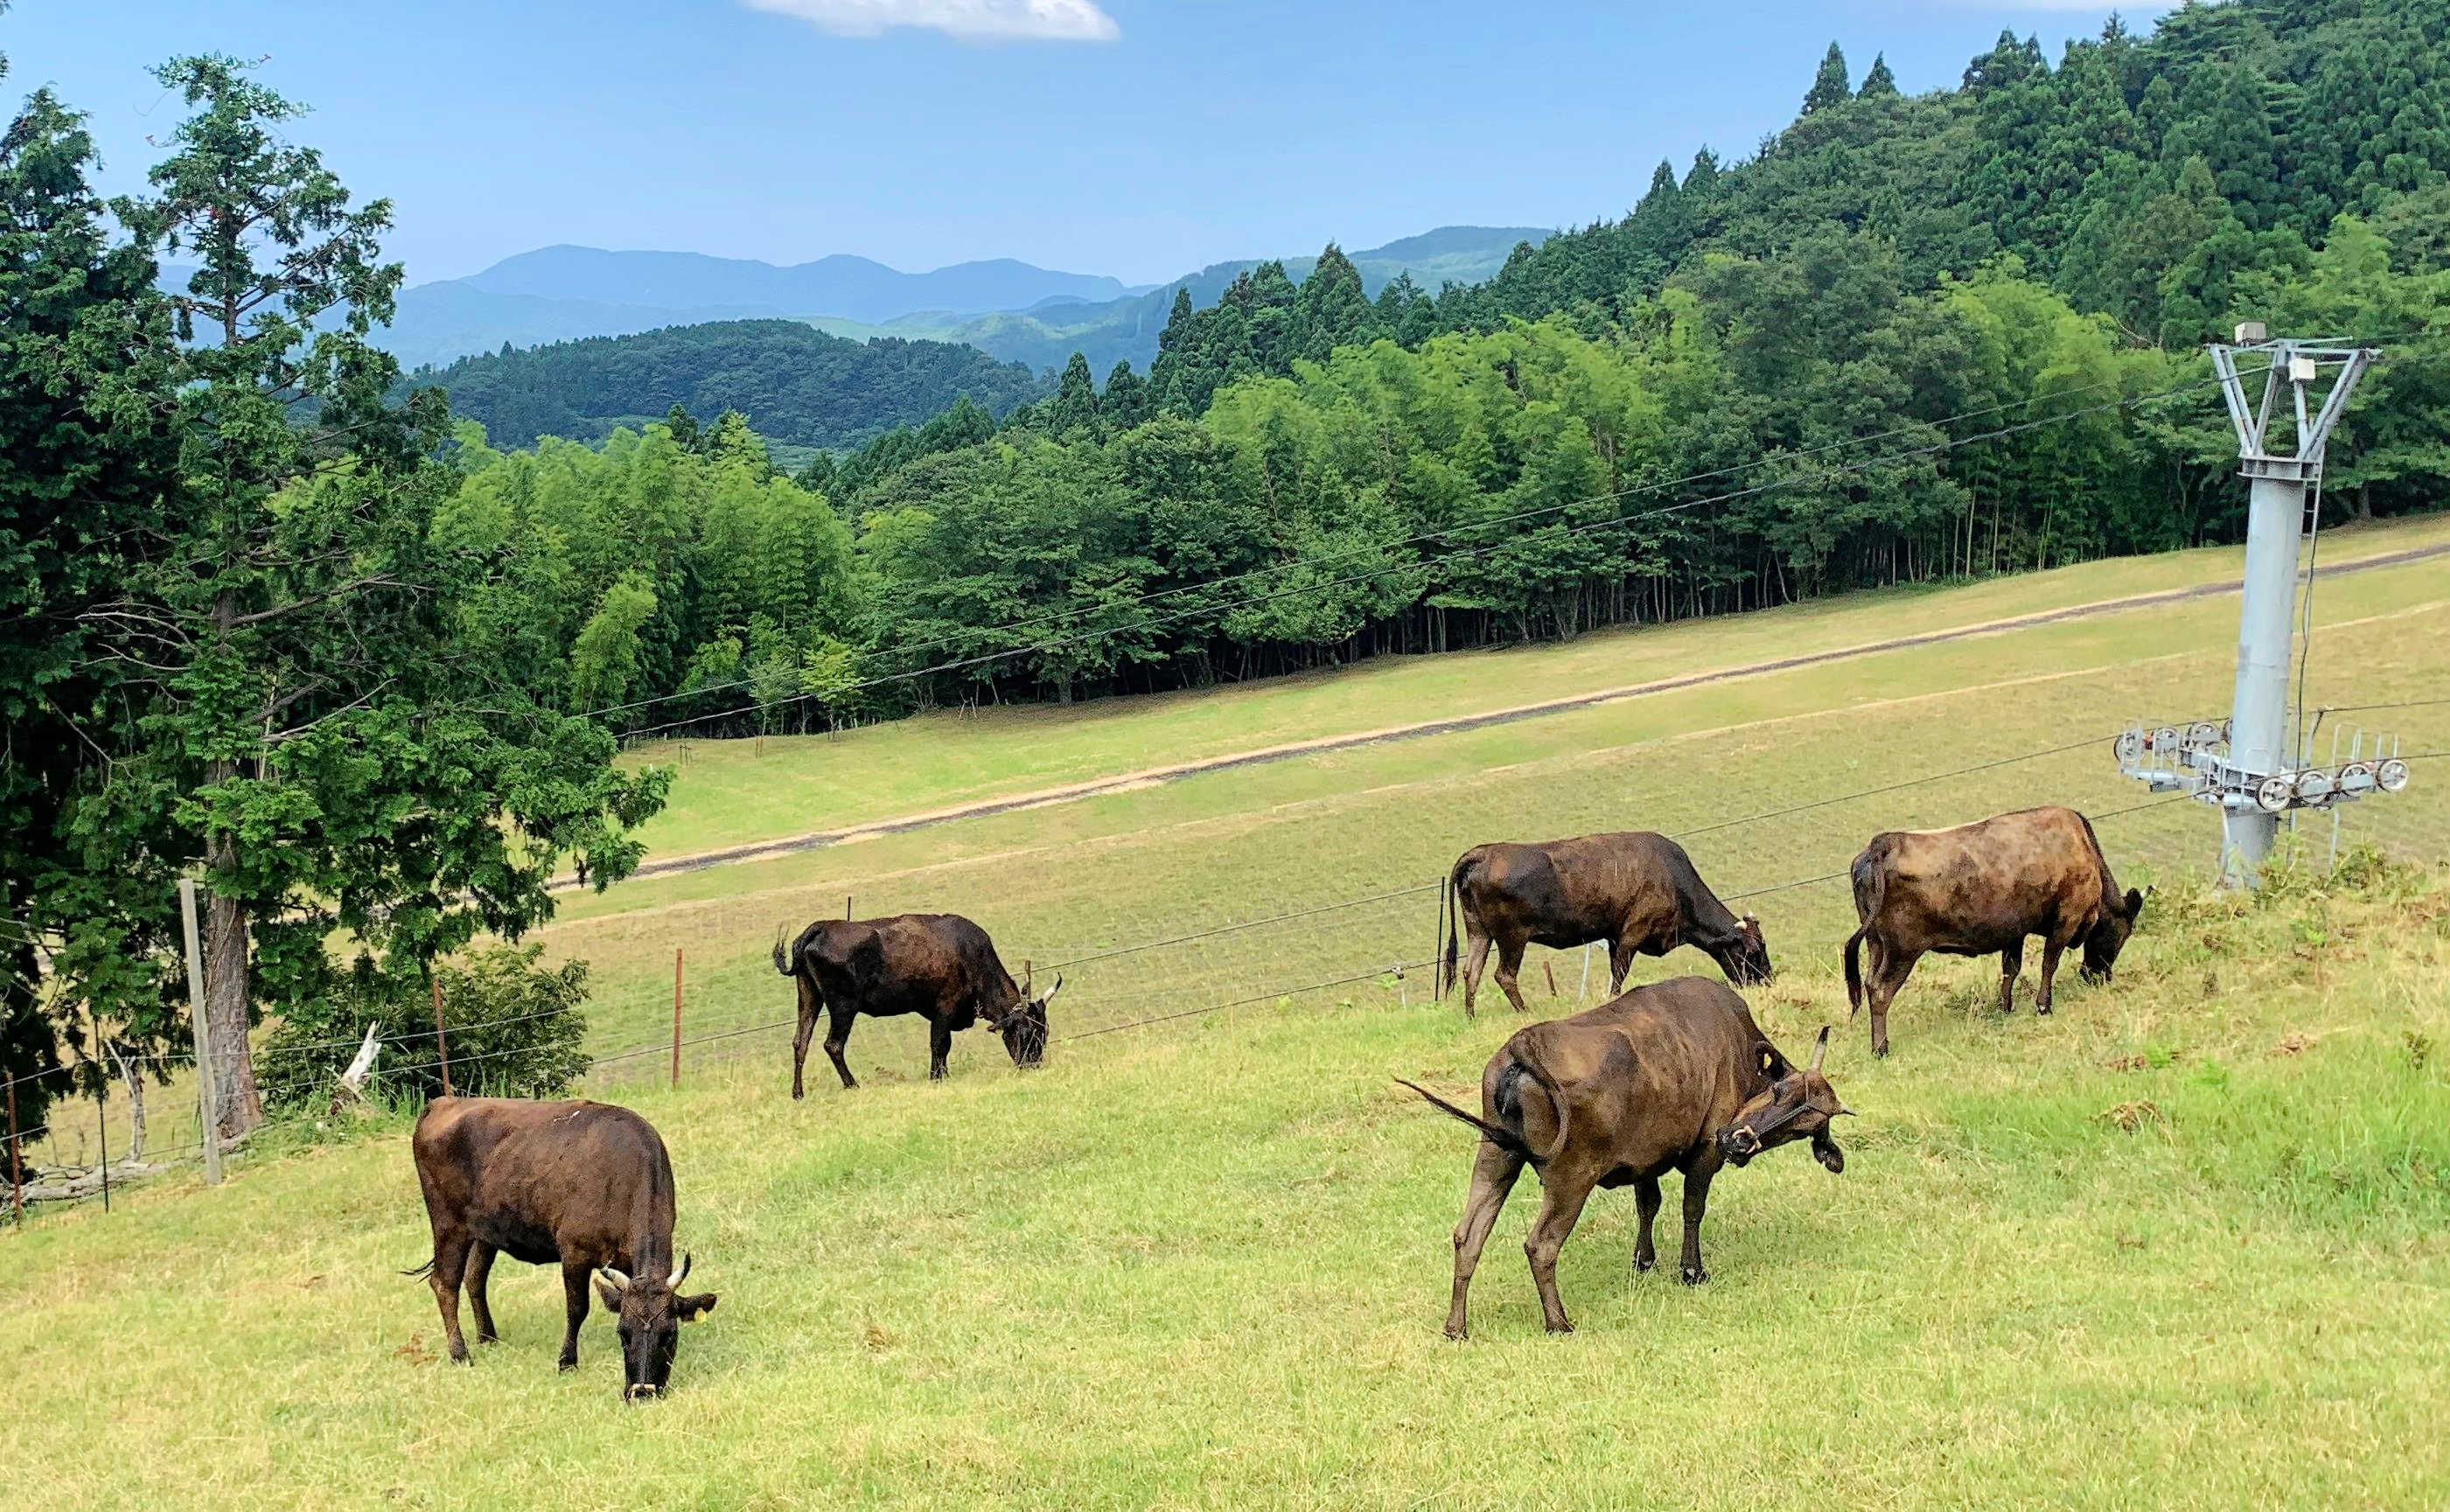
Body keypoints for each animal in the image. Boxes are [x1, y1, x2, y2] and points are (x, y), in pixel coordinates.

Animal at [408, 1092, 715, 1401]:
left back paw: (488, 1337)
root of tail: (443, 1102)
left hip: (485, 1231)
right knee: (444, 1284)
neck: (622, 1176)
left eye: (670, 1335)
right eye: (623, 1333)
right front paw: (567, 1362)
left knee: (474, 1278)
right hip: (448, 1225)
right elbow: (577, 1309)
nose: (642, 1391)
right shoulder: (574, 1253)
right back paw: (460, 1354)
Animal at [1401, 975, 1842, 1342]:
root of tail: (1523, 1044)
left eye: (1802, 1128)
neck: (1737, 1042)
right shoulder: (1705, 1150)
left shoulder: (1645, 1160)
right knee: (1540, 1246)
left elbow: (1648, 1205)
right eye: (1781, 1092)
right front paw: (1692, 1270)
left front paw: (1644, 1261)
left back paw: (1456, 1327)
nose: (1737, 1142)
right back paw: (1558, 1322)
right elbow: (1692, 1208)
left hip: (1495, 1157)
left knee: (1468, 1236)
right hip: (1570, 1179)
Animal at [1440, 823, 1773, 1014]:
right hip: (1512, 938)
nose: (1768, 981)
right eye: (1753, 952)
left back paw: (1470, 1015)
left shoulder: (1614, 935)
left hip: (1479, 931)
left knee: (1471, 970)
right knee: (1503, 975)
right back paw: (1525, 1012)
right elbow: (1620, 972)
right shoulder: (1631, 933)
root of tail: (1483, 853)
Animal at [1842, 804, 2146, 1063]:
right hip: (1902, 950)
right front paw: (2044, 1006)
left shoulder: (2015, 931)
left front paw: (2004, 1007)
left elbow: (2011, 968)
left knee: (1869, 983)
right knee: (1880, 991)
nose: (2099, 977)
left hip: (1876, 943)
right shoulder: (2066, 919)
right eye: (2121, 936)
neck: (2083, 848)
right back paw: (1881, 1049)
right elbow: (2049, 963)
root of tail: (1884, 843)